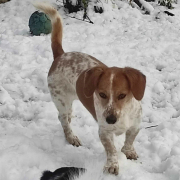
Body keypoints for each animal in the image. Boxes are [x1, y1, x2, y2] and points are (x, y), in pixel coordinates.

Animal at [33, 2, 146, 176]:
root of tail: (61, 55)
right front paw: (112, 165)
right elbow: (111, 149)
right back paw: (71, 137)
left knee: (66, 117)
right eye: (102, 94)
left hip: (68, 103)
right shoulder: (104, 132)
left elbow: (129, 140)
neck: (123, 115)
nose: (110, 119)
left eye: (122, 95)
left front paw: (129, 152)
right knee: (63, 119)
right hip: (61, 100)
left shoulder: (135, 126)